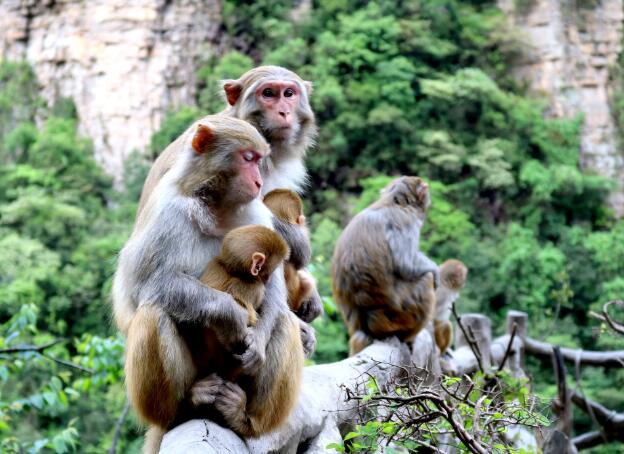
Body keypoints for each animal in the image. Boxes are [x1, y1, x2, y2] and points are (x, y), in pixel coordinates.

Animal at [114, 116, 304, 450]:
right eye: (248, 158)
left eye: (259, 160)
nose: (258, 181)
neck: (215, 206)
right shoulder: (167, 210)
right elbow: (145, 286)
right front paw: (229, 314)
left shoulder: (258, 212)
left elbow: (274, 292)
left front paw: (256, 343)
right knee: (153, 312)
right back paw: (183, 408)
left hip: (233, 376)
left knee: (283, 320)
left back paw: (244, 419)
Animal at [332, 176, 438, 356]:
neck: (393, 203)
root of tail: (368, 326)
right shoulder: (406, 222)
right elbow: (406, 264)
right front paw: (436, 269)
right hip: (401, 315)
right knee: (425, 279)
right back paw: (408, 337)